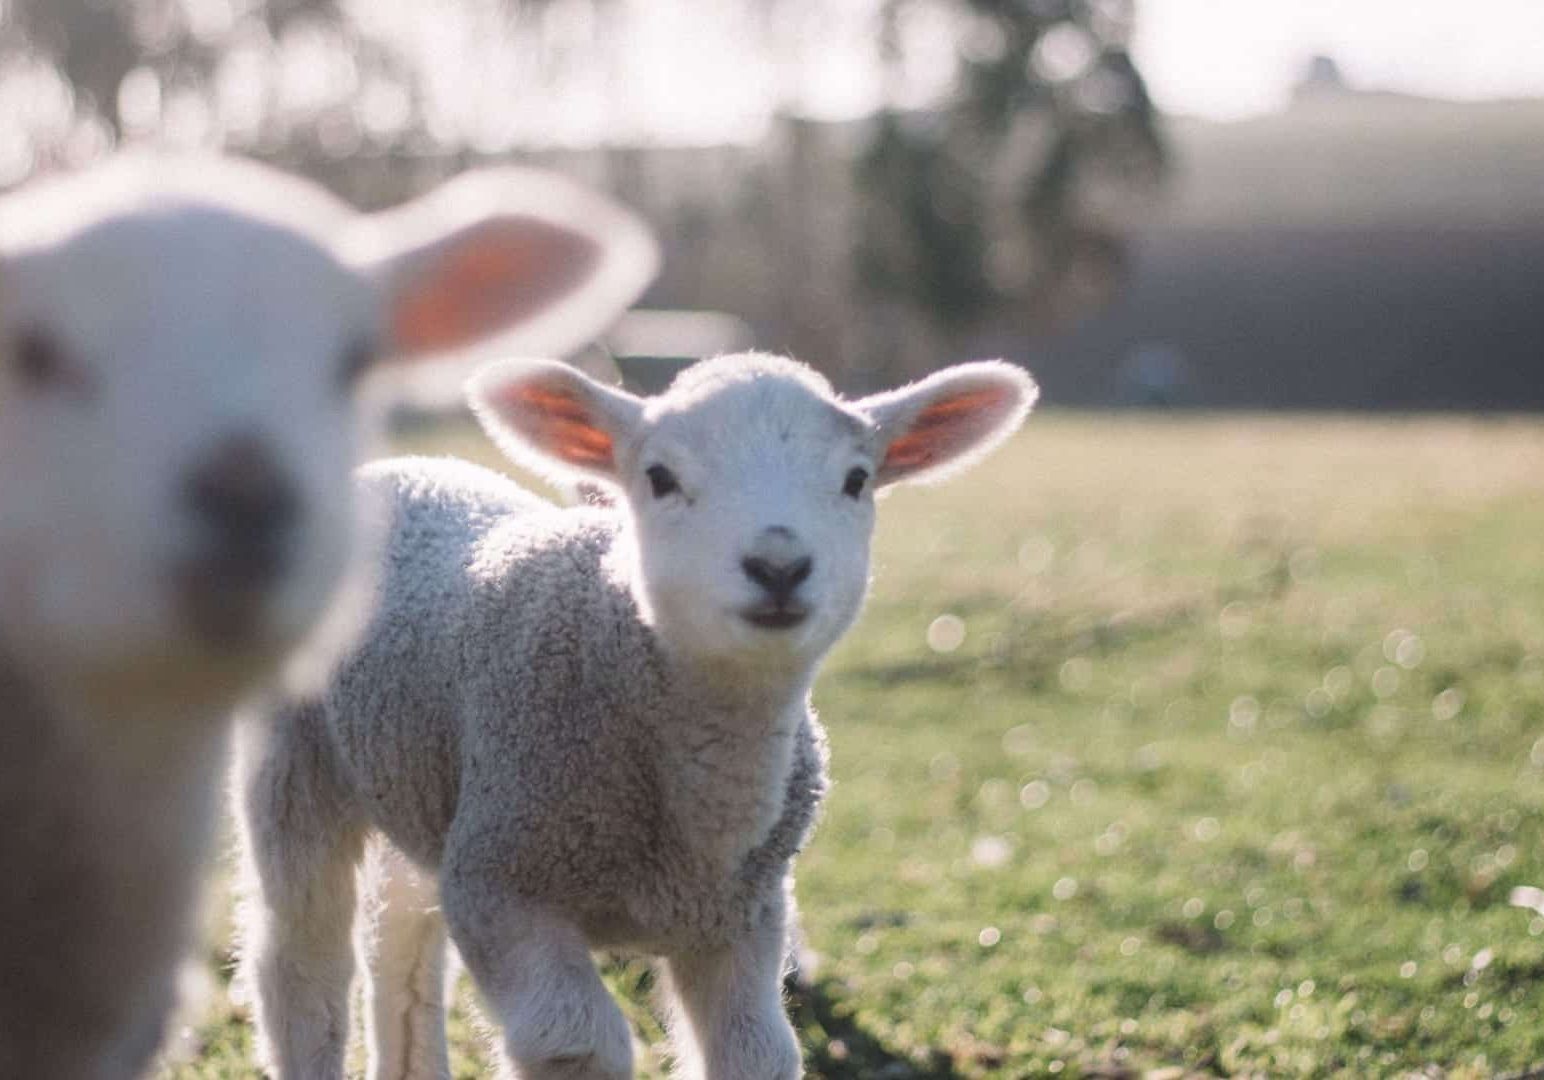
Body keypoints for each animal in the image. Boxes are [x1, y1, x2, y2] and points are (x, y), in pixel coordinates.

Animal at [237, 349, 1037, 1079]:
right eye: (660, 478)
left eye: (856, 480)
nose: (778, 566)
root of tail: (401, 467)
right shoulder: (502, 883)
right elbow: (576, 1044)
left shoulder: (742, 917)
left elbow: (758, 1054)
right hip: (295, 764)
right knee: (301, 962)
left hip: (423, 779)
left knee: (401, 942)